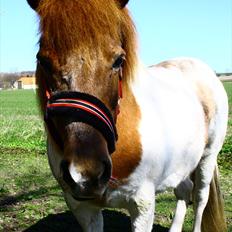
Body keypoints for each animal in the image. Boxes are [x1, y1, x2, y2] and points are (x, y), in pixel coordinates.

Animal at [26, 0, 227, 231]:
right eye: (43, 61)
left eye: (118, 60)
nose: (85, 174)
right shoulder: (82, 207)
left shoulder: (142, 205)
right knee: (184, 190)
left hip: (207, 158)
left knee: (200, 198)